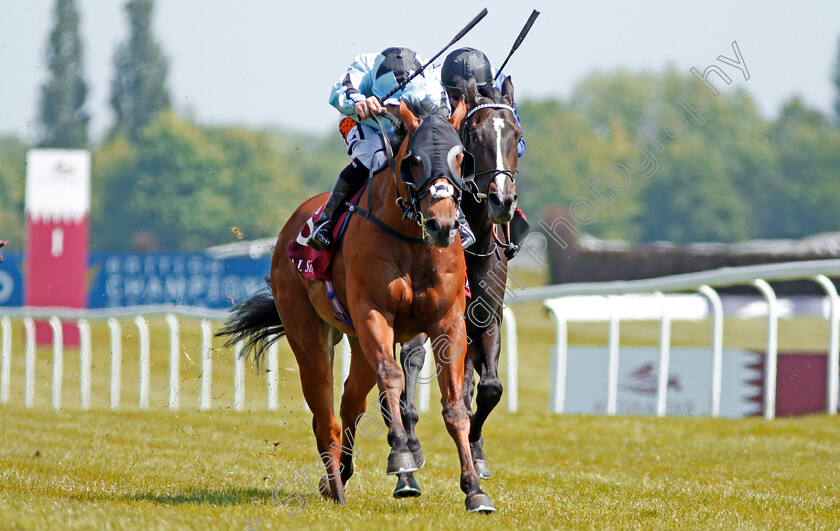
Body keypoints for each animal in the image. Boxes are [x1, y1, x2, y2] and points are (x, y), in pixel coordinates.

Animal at [217, 98, 496, 512]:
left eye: (461, 157)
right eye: (414, 160)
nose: (442, 224)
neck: (412, 241)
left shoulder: (448, 323)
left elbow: (454, 406)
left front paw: (474, 488)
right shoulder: (373, 314)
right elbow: (392, 379)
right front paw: (401, 456)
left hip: (358, 344)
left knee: (351, 403)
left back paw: (341, 474)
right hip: (310, 336)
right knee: (325, 414)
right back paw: (335, 484)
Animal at [394, 75, 520, 498]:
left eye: (516, 135)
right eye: (476, 137)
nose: (501, 200)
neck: (472, 246)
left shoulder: (485, 319)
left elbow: (490, 388)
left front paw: (476, 453)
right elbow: (411, 363)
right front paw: (410, 447)